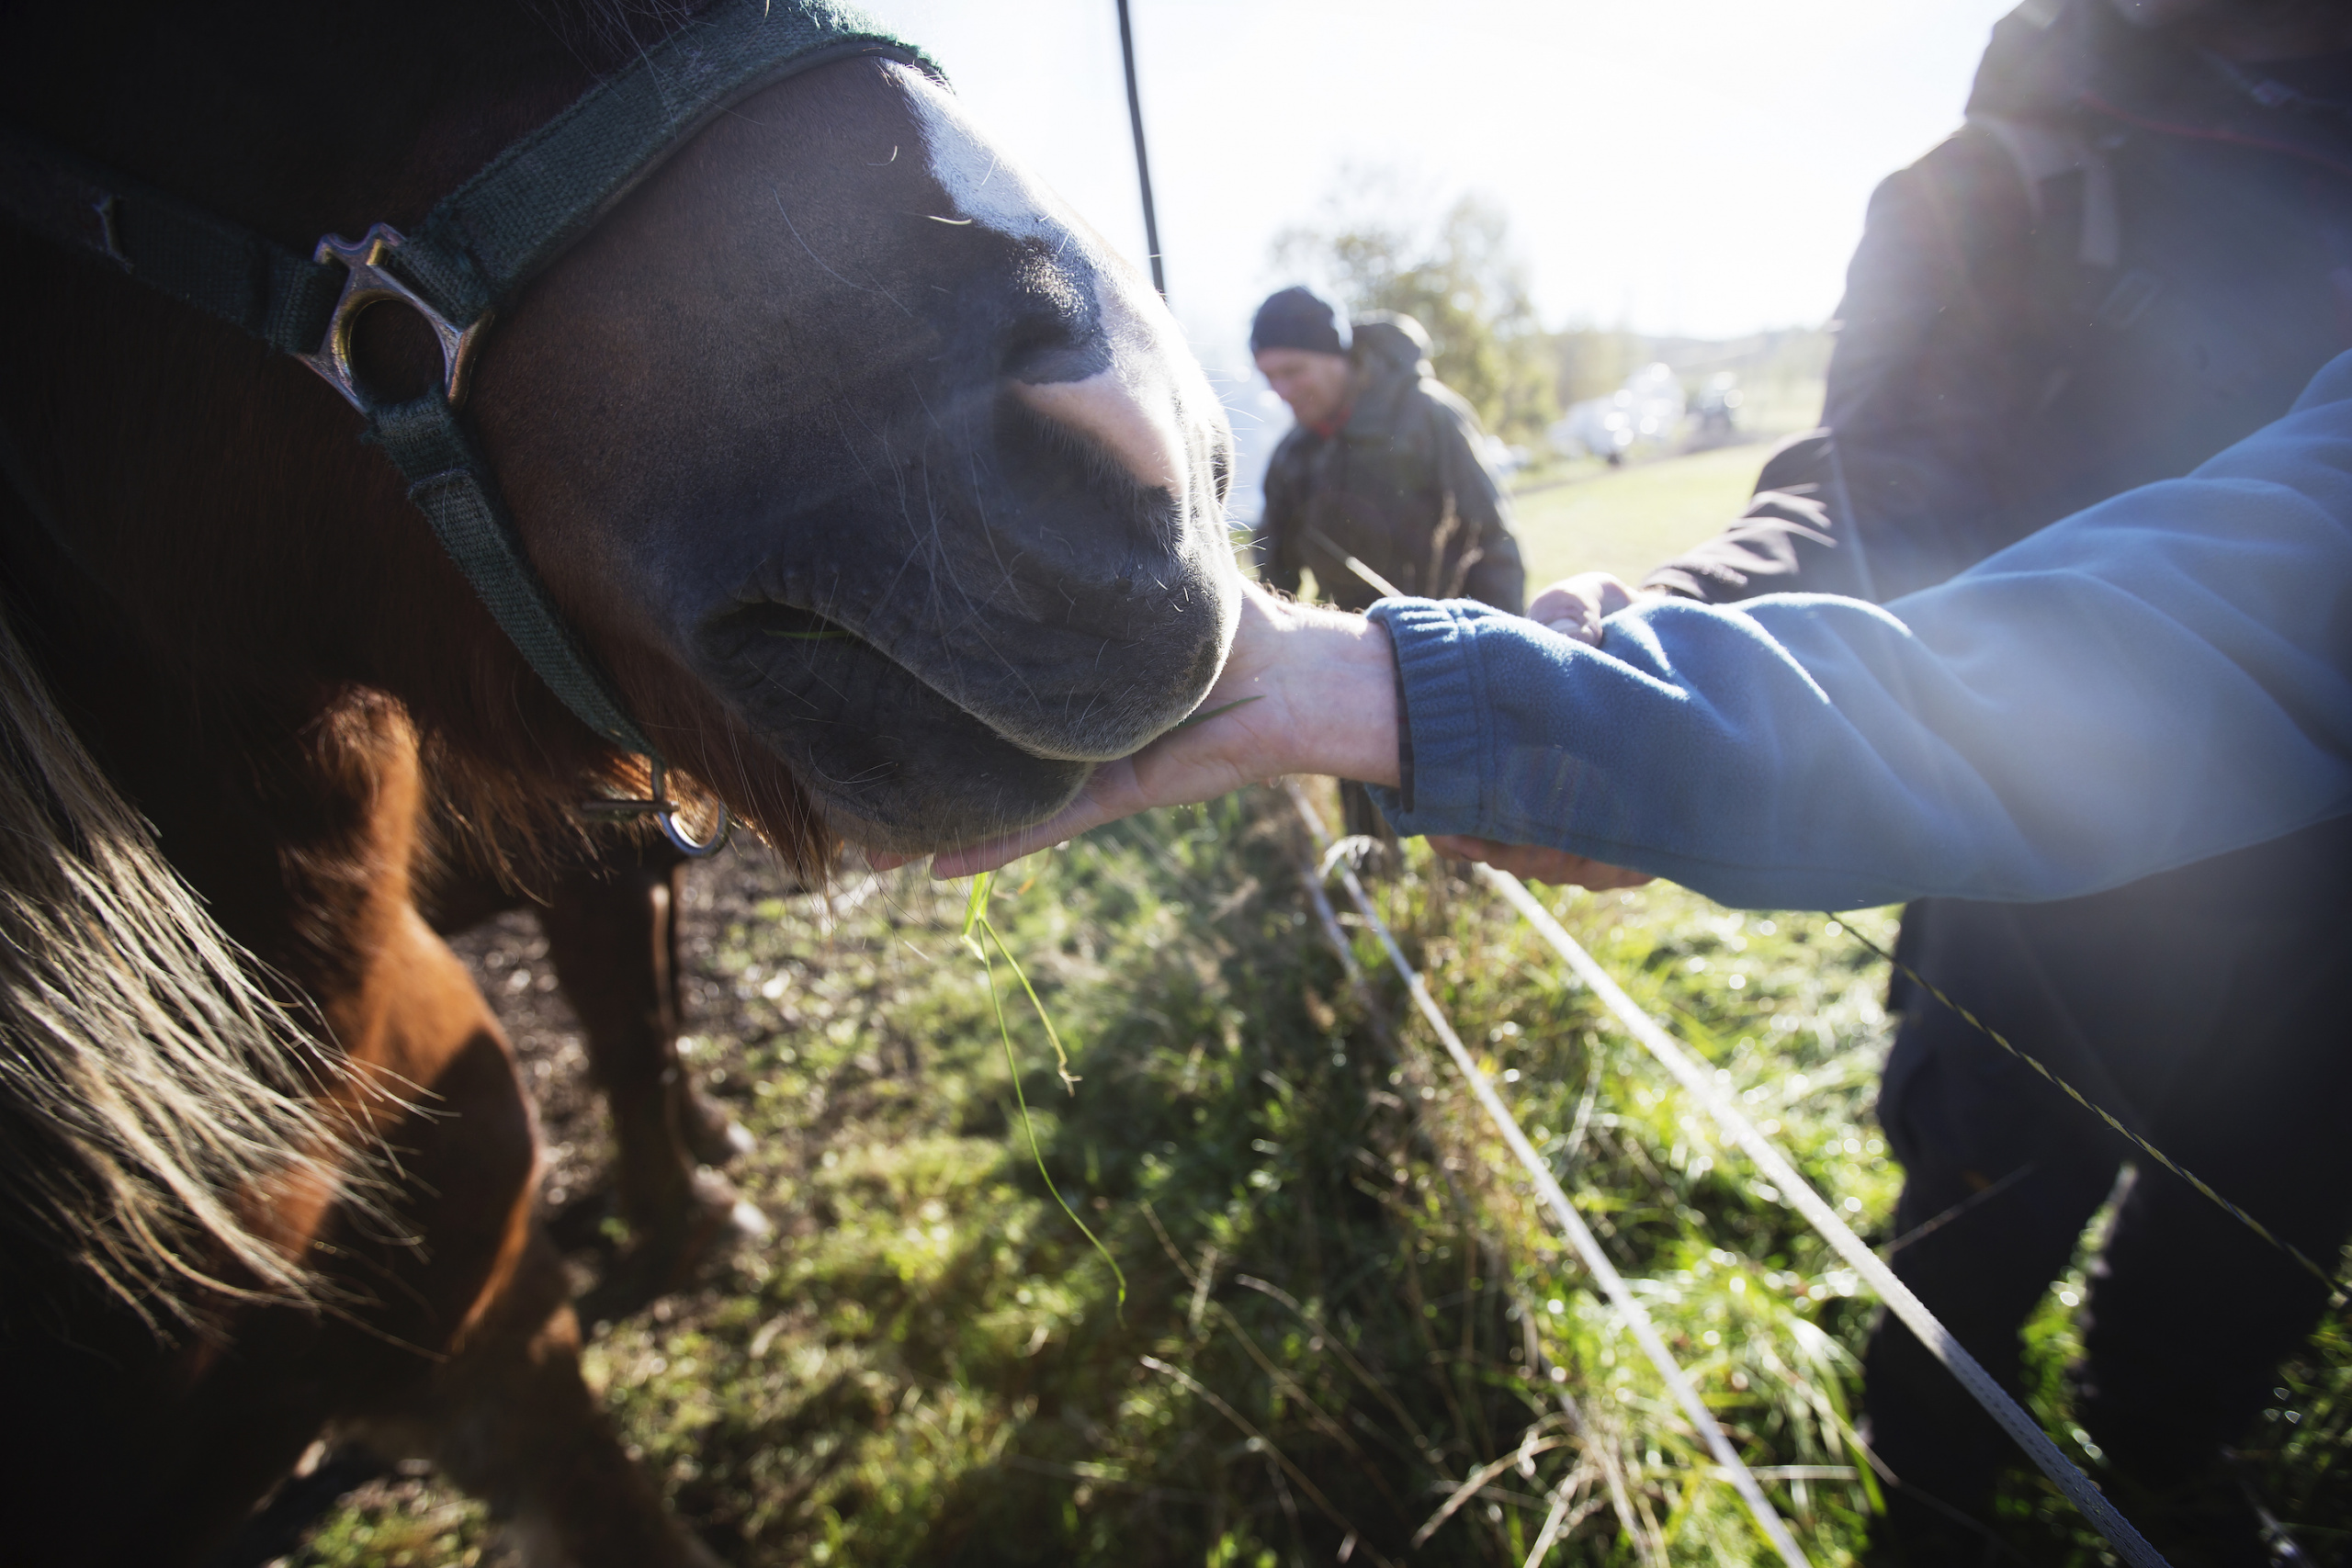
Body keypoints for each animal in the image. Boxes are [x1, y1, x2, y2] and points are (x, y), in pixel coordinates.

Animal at [0, 3, 1232, 1561]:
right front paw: (683, 1213)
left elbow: (652, 1020)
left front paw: (691, 1184)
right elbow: (632, 1020)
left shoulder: (502, 1332)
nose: (1142, 444)